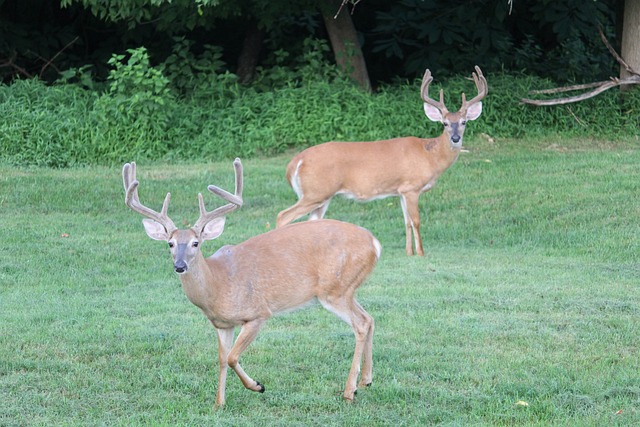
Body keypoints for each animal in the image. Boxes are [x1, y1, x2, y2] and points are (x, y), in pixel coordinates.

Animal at [122, 158, 380, 408]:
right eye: (170, 243)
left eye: (196, 243)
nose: (180, 266)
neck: (218, 285)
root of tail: (374, 242)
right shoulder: (222, 325)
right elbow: (221, 359)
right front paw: (219, 403)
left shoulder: (258, 313)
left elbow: (232, 357)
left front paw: (257, 386)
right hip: (346, 288)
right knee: (369, 318)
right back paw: (366, 380)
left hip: (334, 290)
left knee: (360, 323)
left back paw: (349, 391)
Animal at [276, 65, 490, 256]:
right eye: (445, 123)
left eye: (464, 122)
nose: (455, 138)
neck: (430, 155)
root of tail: (295, 162)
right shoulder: (412, 187)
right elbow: (416, 220)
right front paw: (421, 253)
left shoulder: (401, 190)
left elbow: (406, 221)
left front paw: (409, 252)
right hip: (315, 192)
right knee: (282, 216)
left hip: (321, 196)